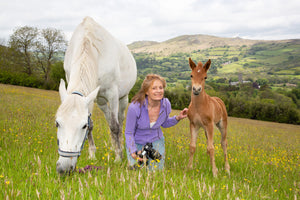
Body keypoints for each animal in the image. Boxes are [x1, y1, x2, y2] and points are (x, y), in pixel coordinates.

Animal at [55, 16, 137, 174]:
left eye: (82, 126)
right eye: (57, 123)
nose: (64, 168)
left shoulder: (112, 93)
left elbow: (115, 127)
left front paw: (118, 157)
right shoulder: (90, 97)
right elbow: (94, 124)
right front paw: (92, 154)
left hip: (123, 98)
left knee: (119, 121)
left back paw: (120, 147)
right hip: (100, 101)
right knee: (109, 118)